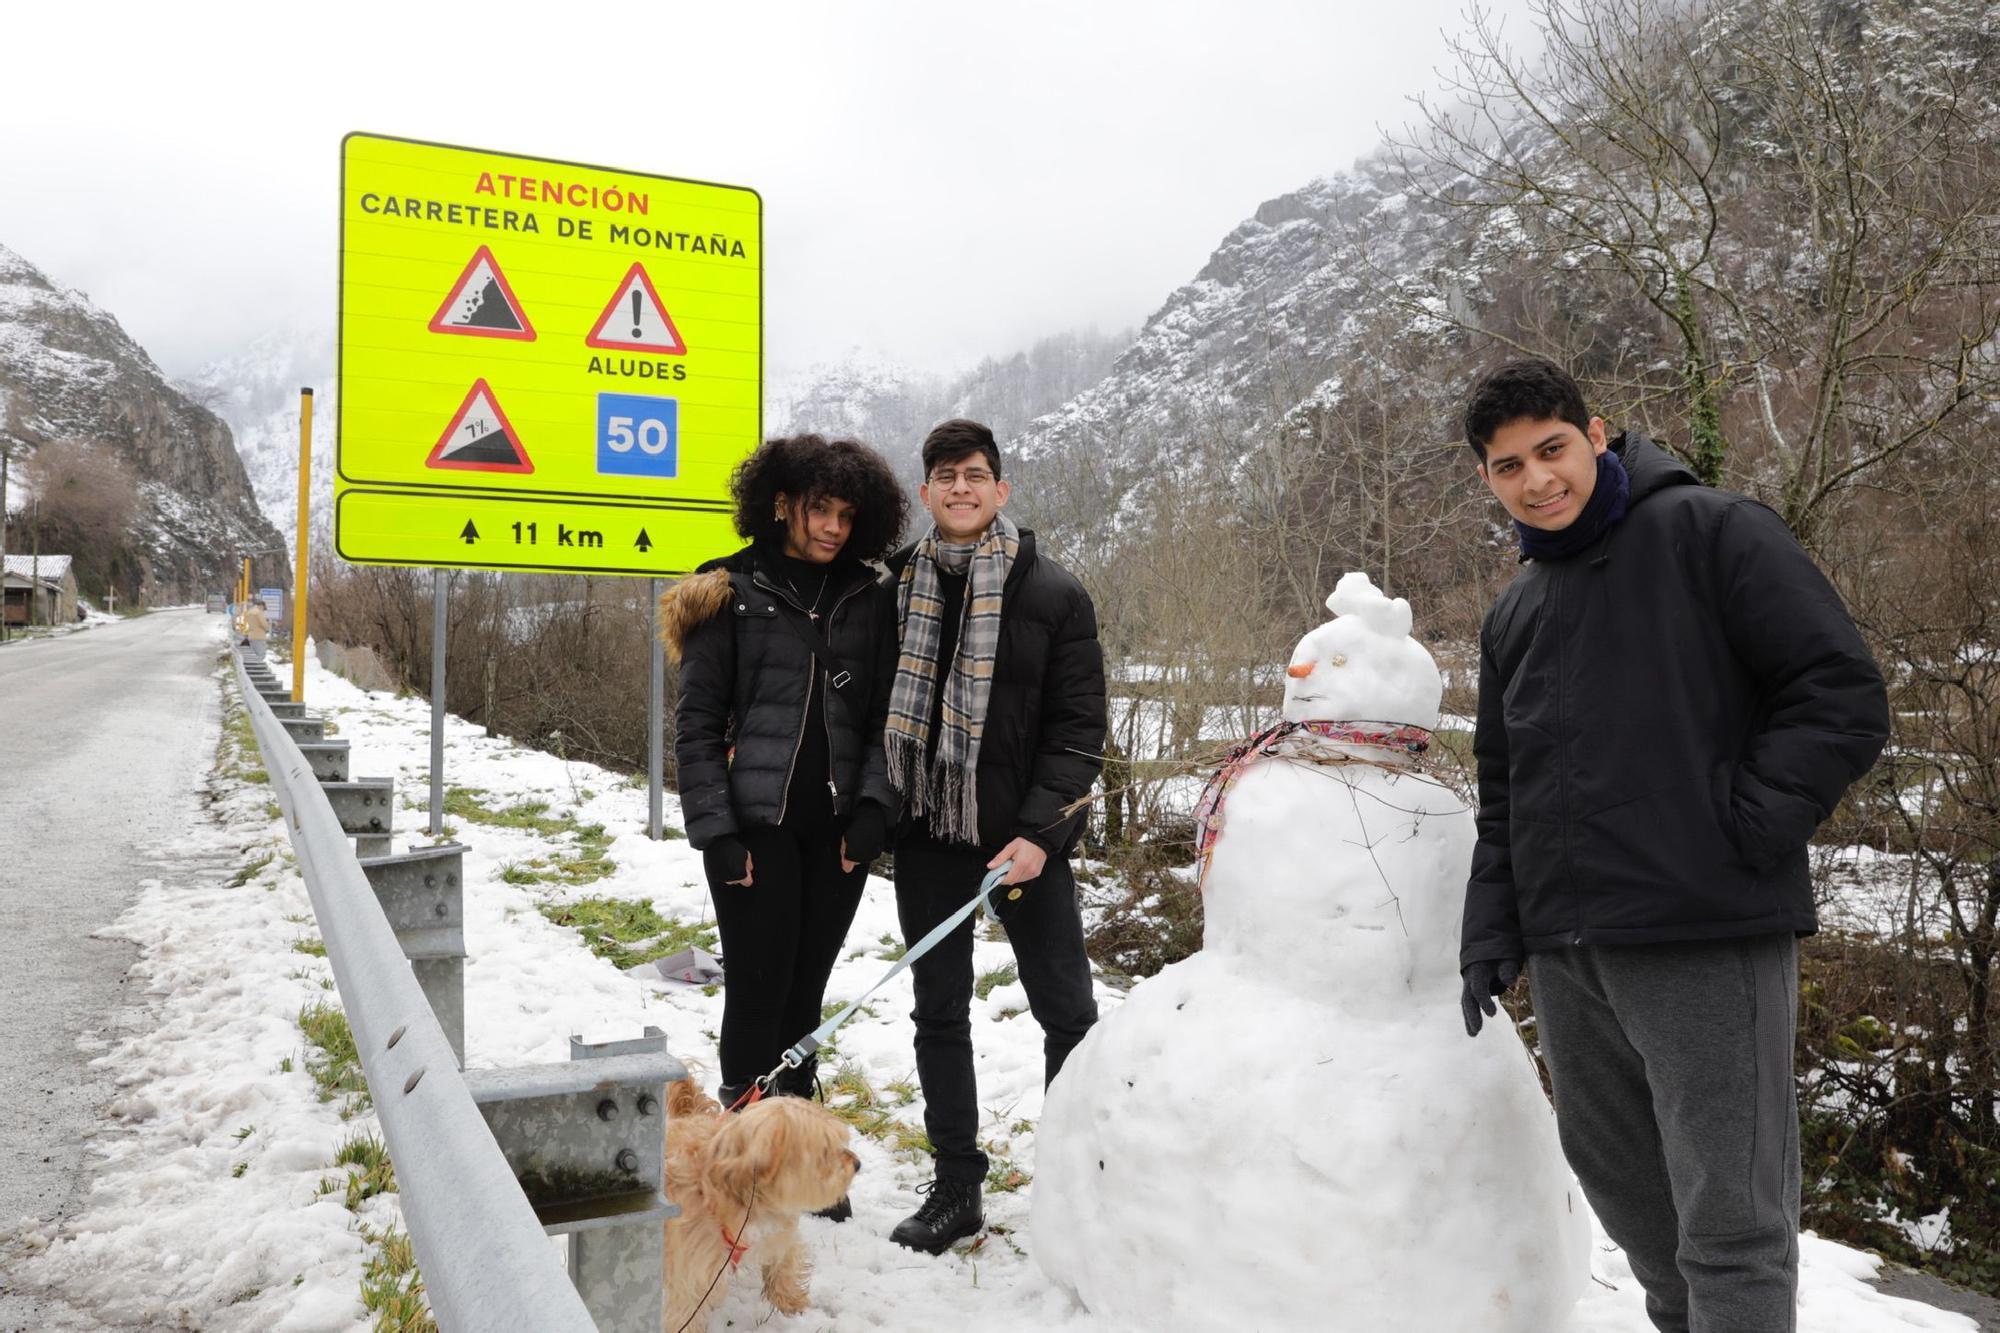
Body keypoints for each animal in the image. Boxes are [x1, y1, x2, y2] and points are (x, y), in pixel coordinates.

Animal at [664, 1072, 860, 1320]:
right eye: (824, 1152)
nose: (857, 1164)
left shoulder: (778, 1231)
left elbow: (785, 1260)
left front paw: (790, 1300)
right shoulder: (688, 1275)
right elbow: (685, 1312)